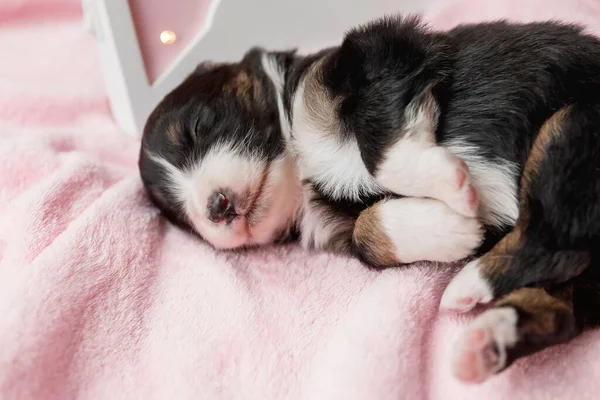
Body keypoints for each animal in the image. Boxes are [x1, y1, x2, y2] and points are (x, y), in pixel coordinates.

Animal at [142, 16, 600, 384]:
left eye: (197, 128)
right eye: (180, 215)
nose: (215, 207)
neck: (300, 167)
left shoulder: (371, 61)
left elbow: (379, 146)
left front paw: (449, 183)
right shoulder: (337, 228)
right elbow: (366, 234)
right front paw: (452, 229)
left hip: (567, 126)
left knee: (551, 241)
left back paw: (466, 286)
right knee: (557, 306)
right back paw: (483, 341)